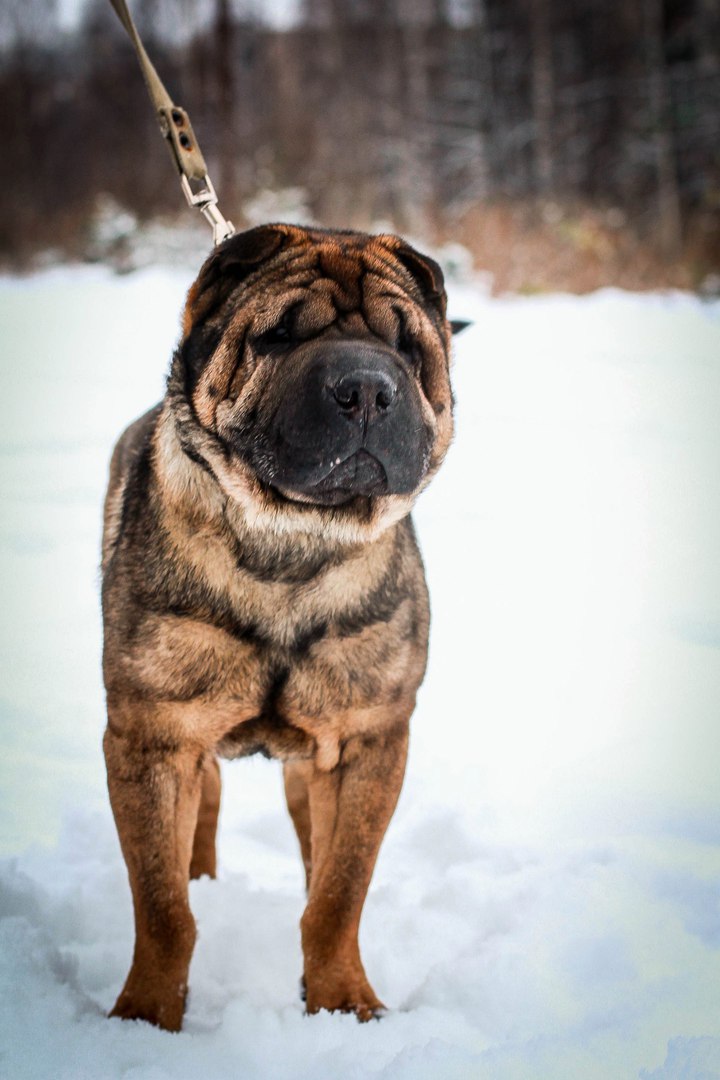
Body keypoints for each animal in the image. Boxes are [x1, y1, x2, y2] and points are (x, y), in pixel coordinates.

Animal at [101, 223, 455, 1032]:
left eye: (408, 345)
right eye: (278, 336)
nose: (366, 389)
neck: (290, 548)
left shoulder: (369, 740)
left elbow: (339, 893)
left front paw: (343, 1003)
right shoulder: (149, 736)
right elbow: (162, 908)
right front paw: (147, 1016)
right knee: (201, 822)